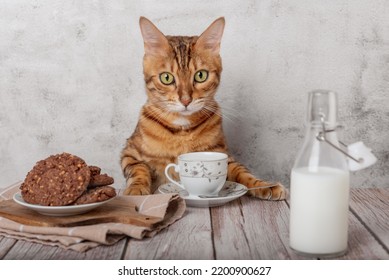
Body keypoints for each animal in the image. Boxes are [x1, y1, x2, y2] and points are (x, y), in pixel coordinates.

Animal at [119, 16, 286, 200]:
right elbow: (138, 169)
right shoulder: (129, 152)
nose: (185, 100)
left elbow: (242, 172)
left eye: (201, 75)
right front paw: (136, 190)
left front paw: (264, 184)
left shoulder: (223, 155)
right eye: (166, 78)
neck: (182, 131)